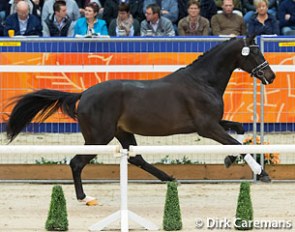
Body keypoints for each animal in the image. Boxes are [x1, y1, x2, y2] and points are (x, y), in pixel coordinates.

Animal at [5, 37, 276, 206]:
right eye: (255, 52)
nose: (271, 76)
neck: (202, 81)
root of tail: (84, 94)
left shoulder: (213, 122)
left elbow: (239, 130)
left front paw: (230, 160)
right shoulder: (207, 127)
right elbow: (237, 143)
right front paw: (262, 172)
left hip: (122, 133)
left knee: (136, 158)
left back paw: (170, 179)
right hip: (99, 137)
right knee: (76, 162)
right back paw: (84, 197)